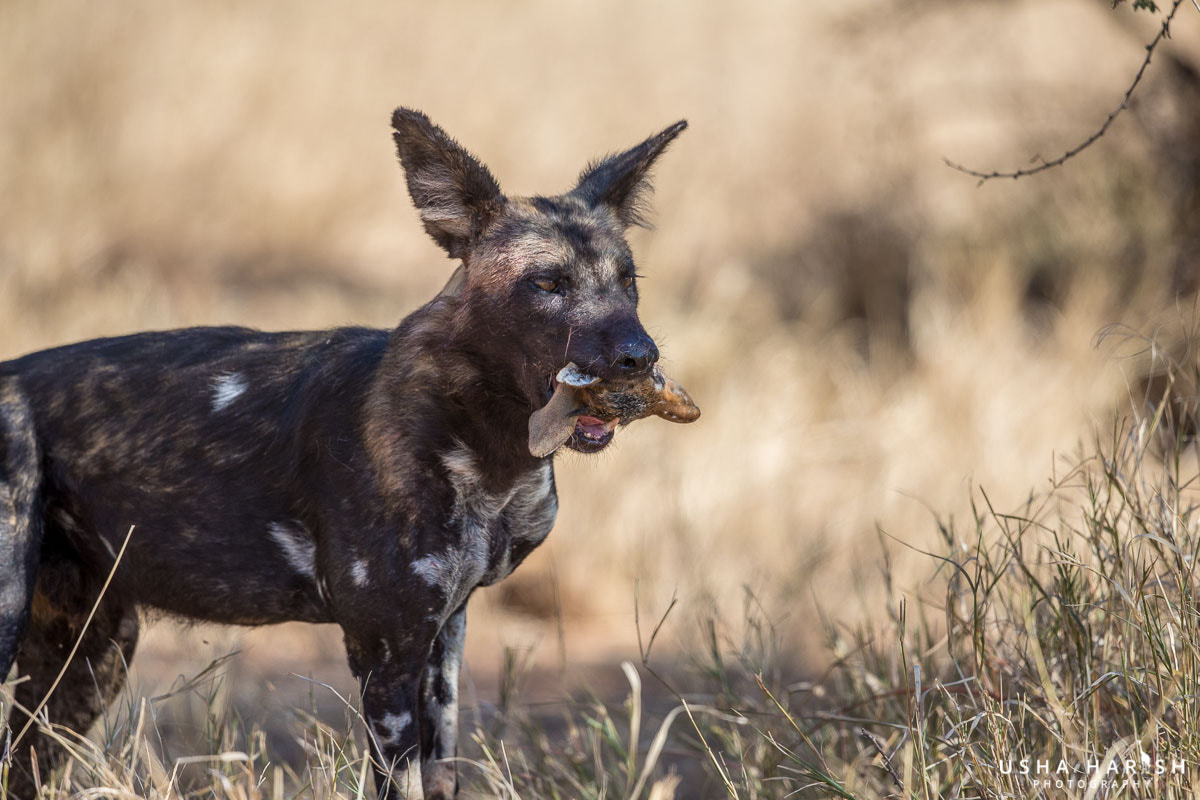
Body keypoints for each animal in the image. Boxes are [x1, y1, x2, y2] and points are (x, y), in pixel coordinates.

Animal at [0, 109, 691, 796]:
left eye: (628, 281)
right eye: (548, 283)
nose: (639, 357)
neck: (488, 453)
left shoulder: (443, 643)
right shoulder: (385, 657)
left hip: (91, 659)